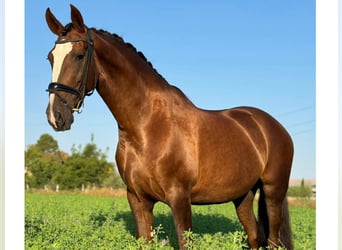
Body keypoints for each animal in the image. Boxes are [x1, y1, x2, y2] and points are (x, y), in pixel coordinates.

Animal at [44, 4, 292, 249]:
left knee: (273, 240)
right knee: (254, 236)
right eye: (50, 58)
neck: (147, 127)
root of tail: (273, 126)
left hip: (273, 192)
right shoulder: (137, 199)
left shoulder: (180, 198)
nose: (56, 116)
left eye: (79, 55)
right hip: (243, 196)